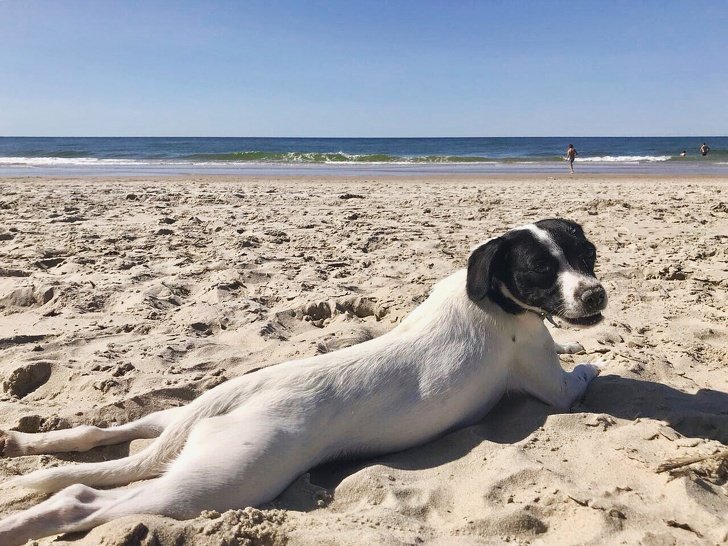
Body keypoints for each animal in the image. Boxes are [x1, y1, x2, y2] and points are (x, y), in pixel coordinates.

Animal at [0, 218, 608, 544]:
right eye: (538, 272)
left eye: (587, 254)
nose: (596, 295)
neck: (490, 298)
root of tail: (223, 401)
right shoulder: (550, 386)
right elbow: (576, 376)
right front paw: (591, 359)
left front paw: (579, 342)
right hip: (221, 482)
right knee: (85, 499)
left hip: (172, 422)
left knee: (95, 440)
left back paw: (23, 443)